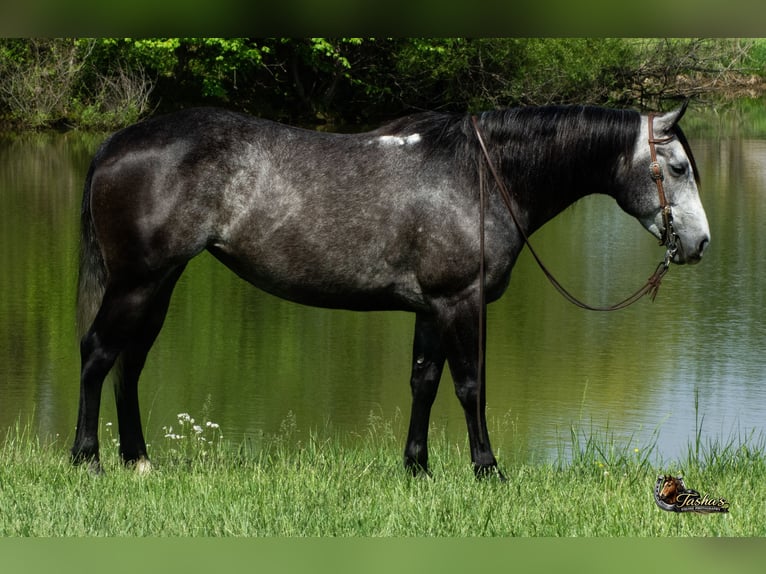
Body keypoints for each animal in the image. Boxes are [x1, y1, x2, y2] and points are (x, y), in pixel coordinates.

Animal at [71, 103, 710, 478]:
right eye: (678, 167)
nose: (700, 243)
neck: (478, 175)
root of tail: (116, 142)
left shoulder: (432, 307)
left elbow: (423, 383)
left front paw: (417, 469)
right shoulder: (460, 301)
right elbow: (471, 387)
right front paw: (488, 470)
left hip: (159, 284)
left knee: (129, 364)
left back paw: (138, 460)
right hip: (137, 283)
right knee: (98, 355)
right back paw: (88, 460)